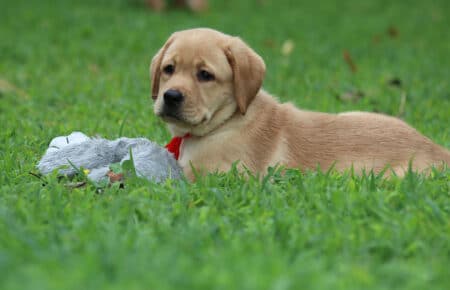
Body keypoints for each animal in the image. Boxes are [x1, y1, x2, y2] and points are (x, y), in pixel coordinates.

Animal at [151, 28, 450, 179]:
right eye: (169, 69)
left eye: (205, 75)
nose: (171, 96)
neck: (228, 120)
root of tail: (438, 150)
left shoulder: (214, 175)